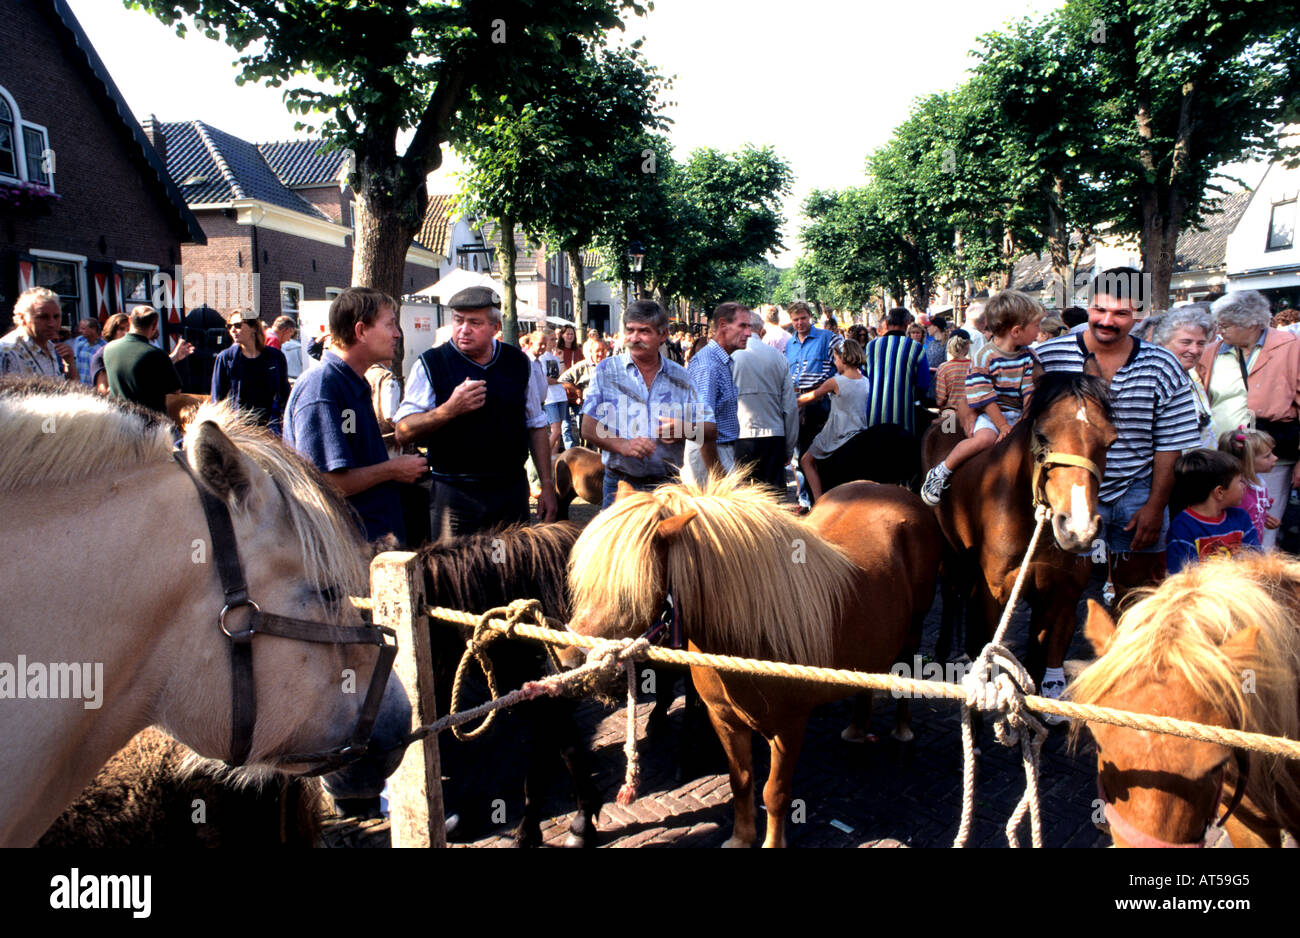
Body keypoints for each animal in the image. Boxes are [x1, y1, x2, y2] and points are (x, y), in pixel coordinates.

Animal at [564, 475, 941, 847]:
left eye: (629, 592)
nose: (568, 660)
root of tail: (895, 490)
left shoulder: (789, 728)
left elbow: (775, 793)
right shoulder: (724, 720)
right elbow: (741, 781)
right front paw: (741, 838)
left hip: (913, 631)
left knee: (905, 672)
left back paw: (902, 731)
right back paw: (857, 729)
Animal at [925, 366, 1118, 680]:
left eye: (1110, 440)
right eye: (1042, 435)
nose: (1078, 529)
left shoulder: (1056, 596)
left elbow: (1038, 659)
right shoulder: (996, 594)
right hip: (949, 551)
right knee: (951, 594)